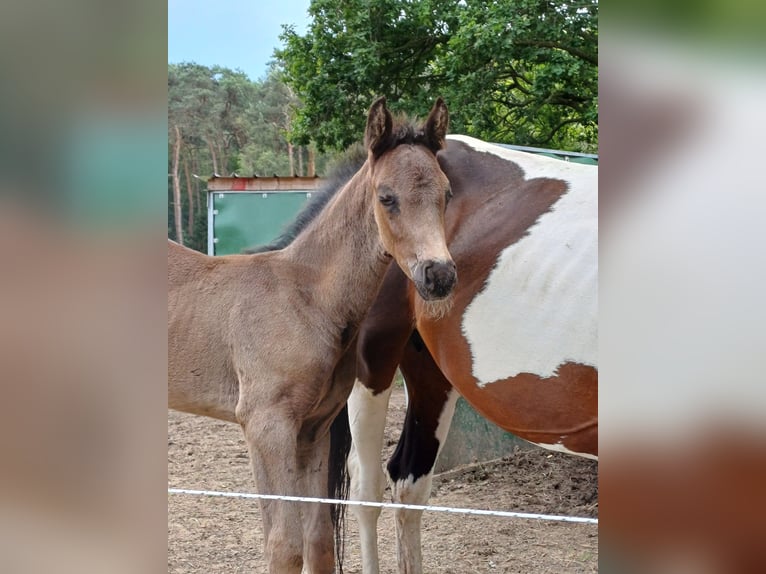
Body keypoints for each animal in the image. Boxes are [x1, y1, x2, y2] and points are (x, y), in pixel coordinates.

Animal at [168, 99, 456, 574]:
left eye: (446, 194)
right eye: (387, 197)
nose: (440, 275)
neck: (306, 298)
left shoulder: (314, 428)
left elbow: (319, 540)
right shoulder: (266, 425)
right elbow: (284, 544)